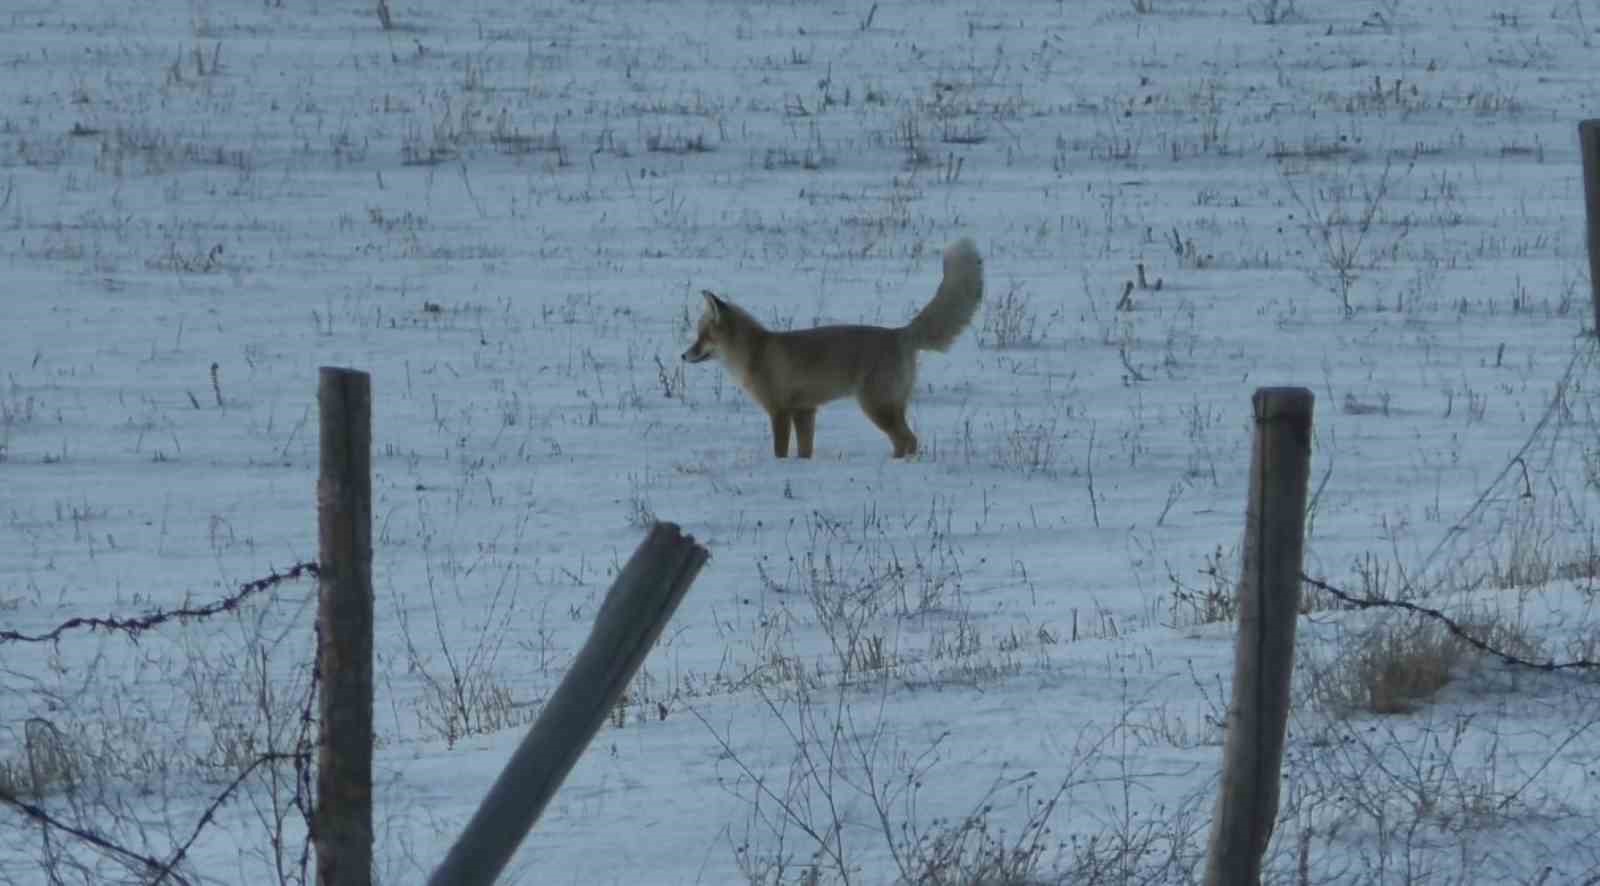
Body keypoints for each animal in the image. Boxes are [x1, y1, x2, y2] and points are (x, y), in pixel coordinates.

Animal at [681, 238, 979, 457]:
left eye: (702, 336)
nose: (683, 356)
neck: (755, 353)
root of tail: (900, 332)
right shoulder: (805, 411)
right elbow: (805, 451)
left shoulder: (780, 411)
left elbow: (780, 451)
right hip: (887, 406)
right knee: (907, 440)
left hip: (876, 407)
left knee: (908, 440)